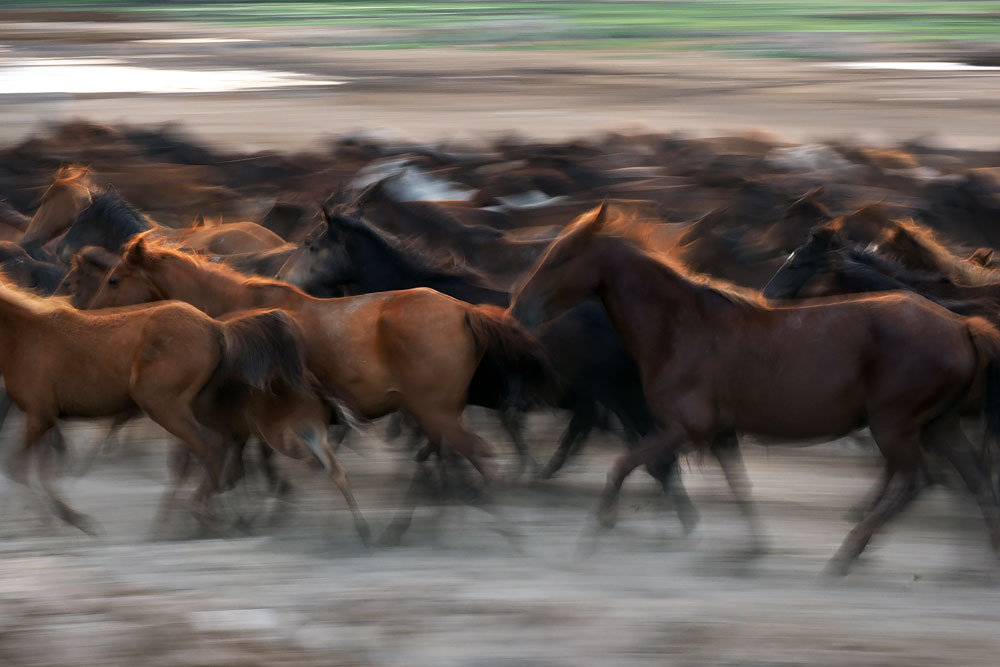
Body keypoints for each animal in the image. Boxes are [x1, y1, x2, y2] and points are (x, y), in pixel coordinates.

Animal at [0, 280, 308, 532]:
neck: (25, 336)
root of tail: (215, 327)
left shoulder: (39, 415)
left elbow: (17, 467)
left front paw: (67, 519)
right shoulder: (45, 417)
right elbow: (40, 469)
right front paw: (63, 517)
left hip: (160, 403)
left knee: (207, 448)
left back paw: (204, 516)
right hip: (198, 406)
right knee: (220, 449)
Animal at [512, 204, 1000, 576]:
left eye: (559, 258)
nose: (519, 311)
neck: (681, 327)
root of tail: (963, 327)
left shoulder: (683, 428)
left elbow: (625, 466)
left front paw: (597, 533)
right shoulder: (718, 433)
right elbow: (736, 485)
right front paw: (752, 545)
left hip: (895, 425)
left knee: (917, 481)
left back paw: (847, 554)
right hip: (940, 426)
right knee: (974, 481)